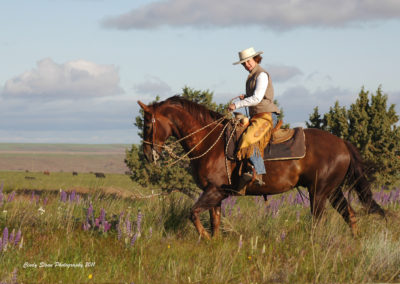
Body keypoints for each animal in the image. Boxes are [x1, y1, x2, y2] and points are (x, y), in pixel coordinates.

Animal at [137, 96, 384, 240]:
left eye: (147, 124)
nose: (147, 154)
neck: (211, 142)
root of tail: (343, 143)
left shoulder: (215, 190)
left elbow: (193, 213)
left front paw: (205, 238)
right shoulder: (214, 194)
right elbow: (214, 221)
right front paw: (214, 242)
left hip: (319, 192)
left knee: (319, 221)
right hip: (333, 191)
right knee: (349, 215)